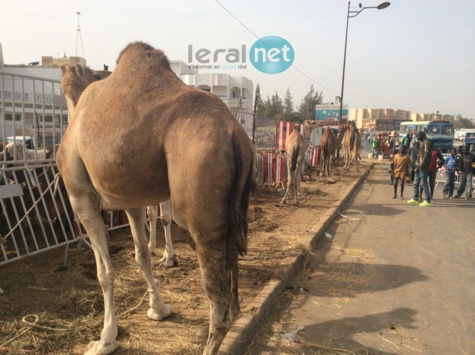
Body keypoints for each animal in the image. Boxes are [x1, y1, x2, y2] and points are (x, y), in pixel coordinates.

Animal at [61, 64, 177, 268]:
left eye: (81, 84)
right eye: (63, 89)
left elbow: (165, 216)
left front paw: (168, 257)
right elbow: (151, 214)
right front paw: (152, 246)